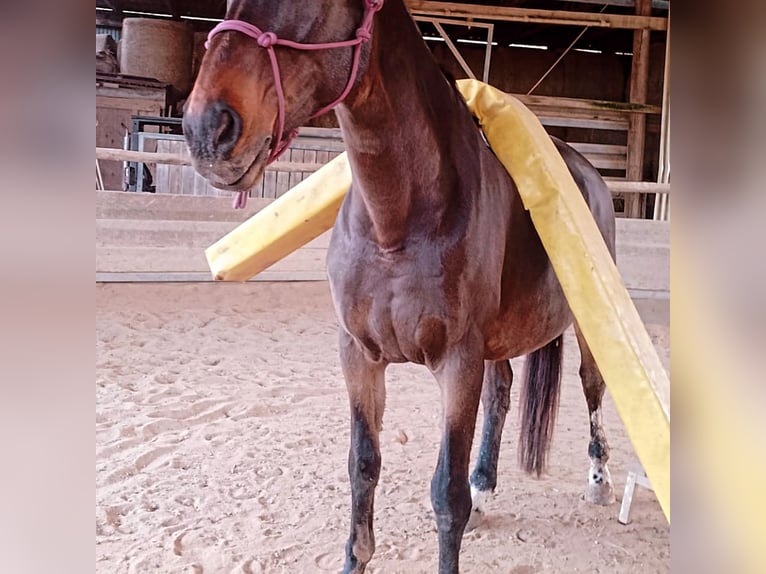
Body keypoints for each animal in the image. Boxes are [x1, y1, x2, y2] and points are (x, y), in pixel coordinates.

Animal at [184, 2, 616, 572]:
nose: (206, 129)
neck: (397, 223)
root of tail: (590, 174)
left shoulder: (458, 362)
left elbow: (446, 495)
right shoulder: (359, 356)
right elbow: (363, 465)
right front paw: (356, 559)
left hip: (585, 331)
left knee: (592, 386)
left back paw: (599, 481)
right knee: (501, 394)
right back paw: (485, 489)